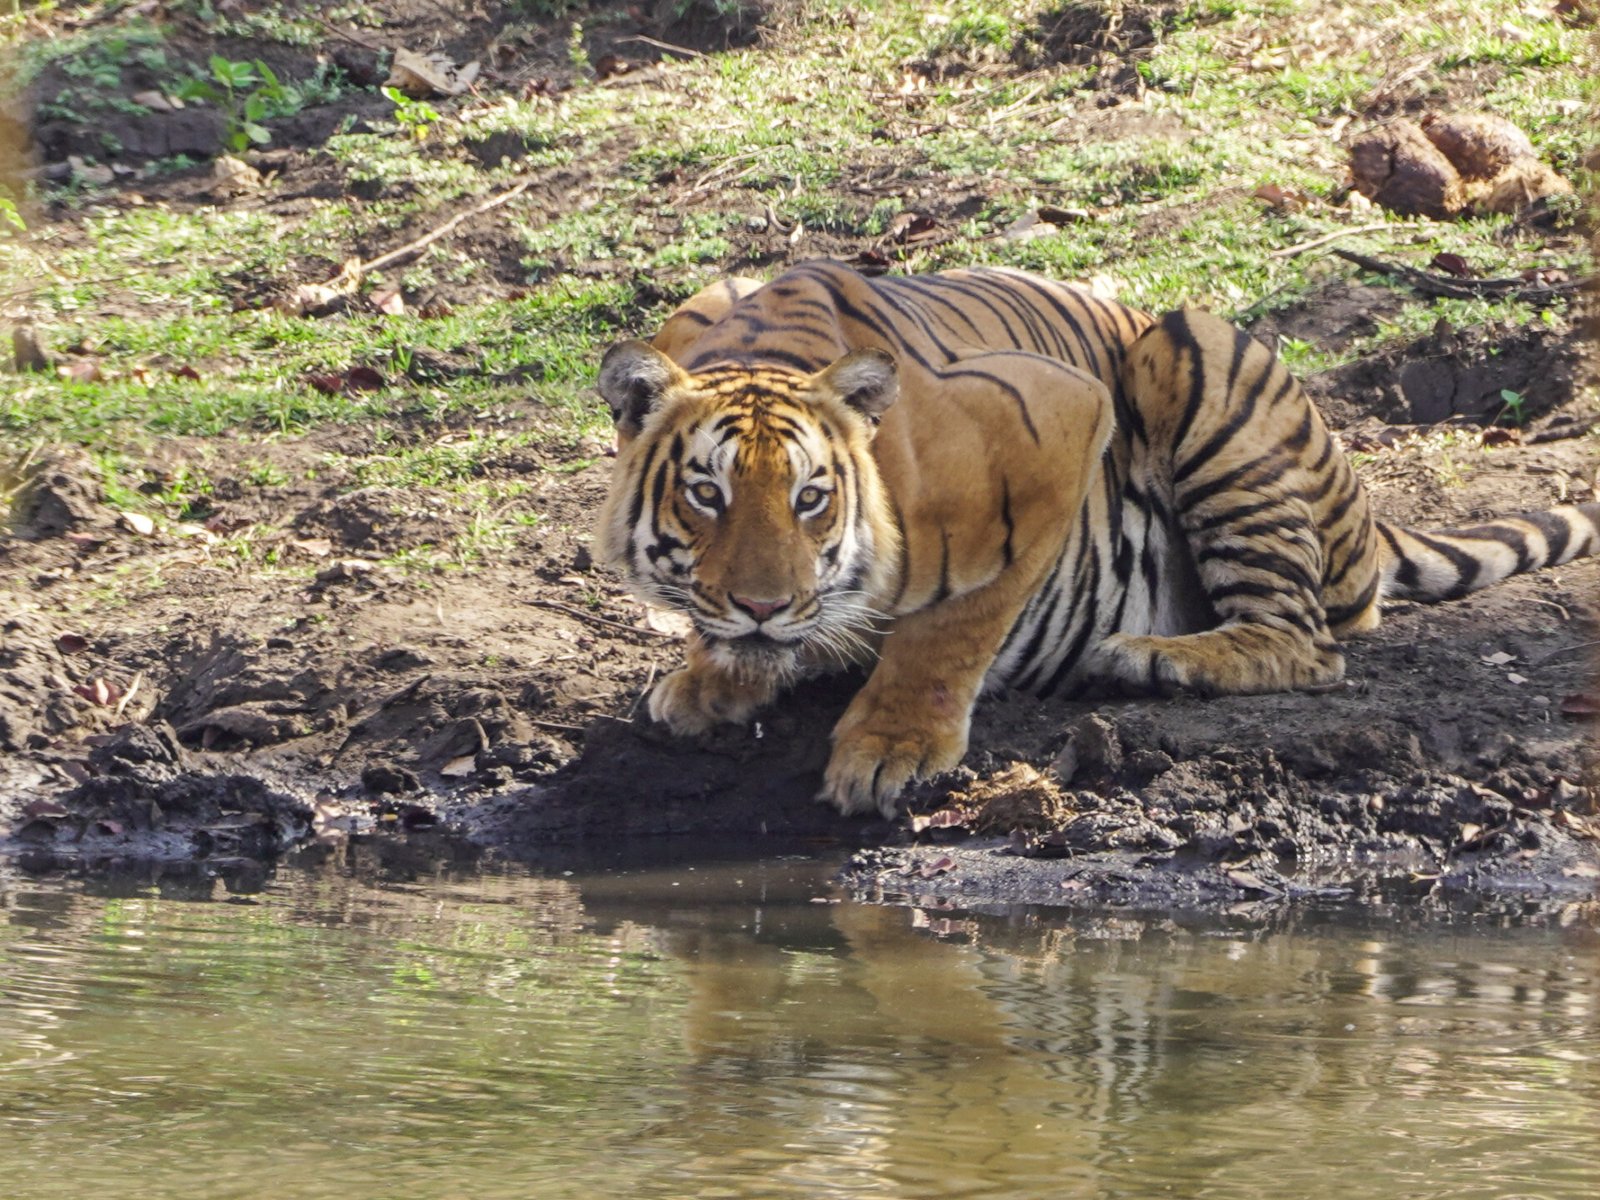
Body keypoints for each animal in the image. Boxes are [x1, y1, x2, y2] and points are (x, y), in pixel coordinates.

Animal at [595, 262, 1600, 825]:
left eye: (811, 499)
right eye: (707, 494)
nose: (763, 607)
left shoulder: (1060, 424)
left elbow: (952, 627)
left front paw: (891, 747)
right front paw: (710, 677)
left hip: (1195, 355)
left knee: (1310, 644)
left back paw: (1154, 658)